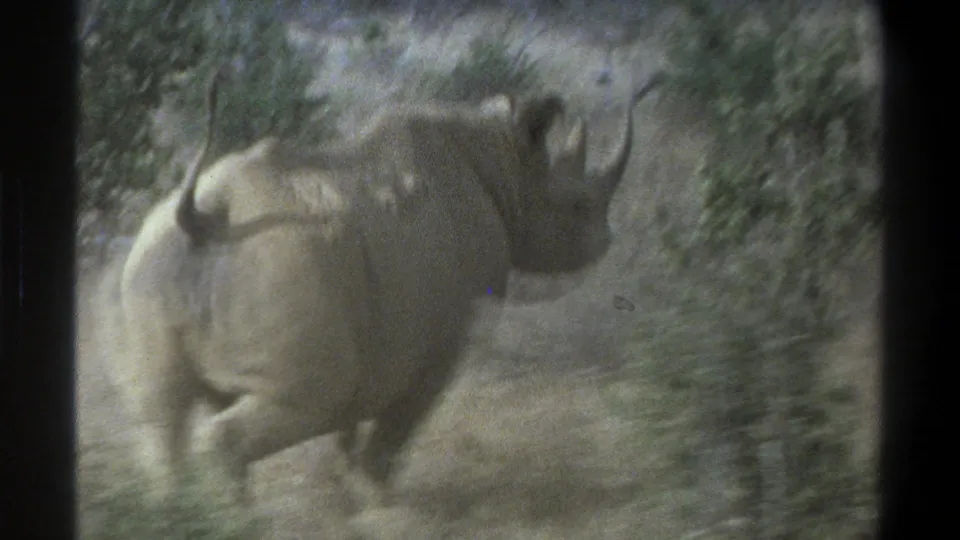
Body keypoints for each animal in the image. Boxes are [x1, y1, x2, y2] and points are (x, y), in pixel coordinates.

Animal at [106, 68, 663, 504]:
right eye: (578, 207)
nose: (607, 239)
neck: (503, 163)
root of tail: (207, 213)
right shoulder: (441, 344)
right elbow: (398, 426)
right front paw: (381, 503)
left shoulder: (373, 334)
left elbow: (350, 428)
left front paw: (346, 498)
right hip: (277, 265)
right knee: (293, 407)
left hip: (154, 261)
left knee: (159, 423)